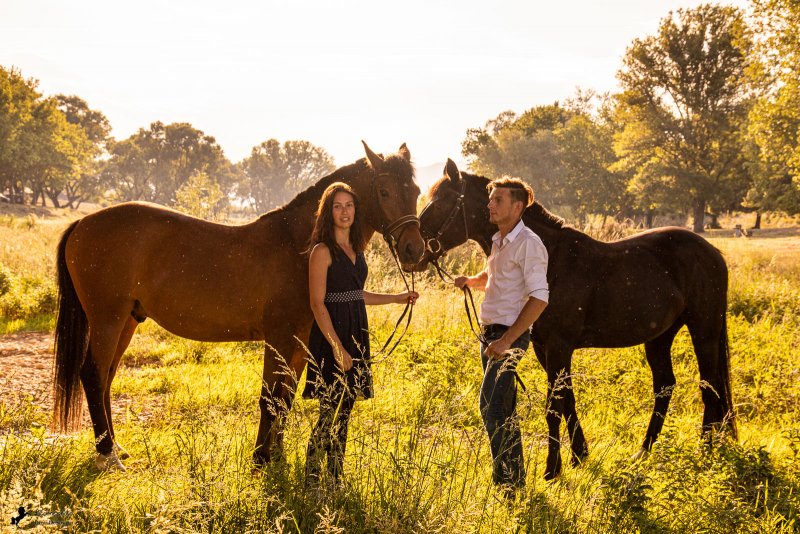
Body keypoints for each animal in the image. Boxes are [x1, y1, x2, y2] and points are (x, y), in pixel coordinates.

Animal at [53, 142, 425, 471]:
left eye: (417, 190)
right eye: (384, 191)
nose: (414, 250)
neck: (298, 246)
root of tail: (82, 224)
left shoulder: (300, 343)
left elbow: (285, 400)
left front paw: (276, 456)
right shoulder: (278, 338)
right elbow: (269, 398)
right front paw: (260, 460)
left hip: (128, 320)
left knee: (107, 377)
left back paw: (116, 447)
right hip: (108, 319)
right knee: (93, 374)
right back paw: (107, 457)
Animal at [415, 159, 735, 480]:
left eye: (441, 201)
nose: (412, 250)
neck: (552, 258)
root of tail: (713, 253)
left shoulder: (559, 346)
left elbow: (554, 405)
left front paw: (552, 469)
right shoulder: (544, 349)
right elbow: (567, 399)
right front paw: (579, 455)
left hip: (704, 332)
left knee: (710, 388)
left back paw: (704, 455)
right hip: (659, 338)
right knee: (665, 387)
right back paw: (643, 453)